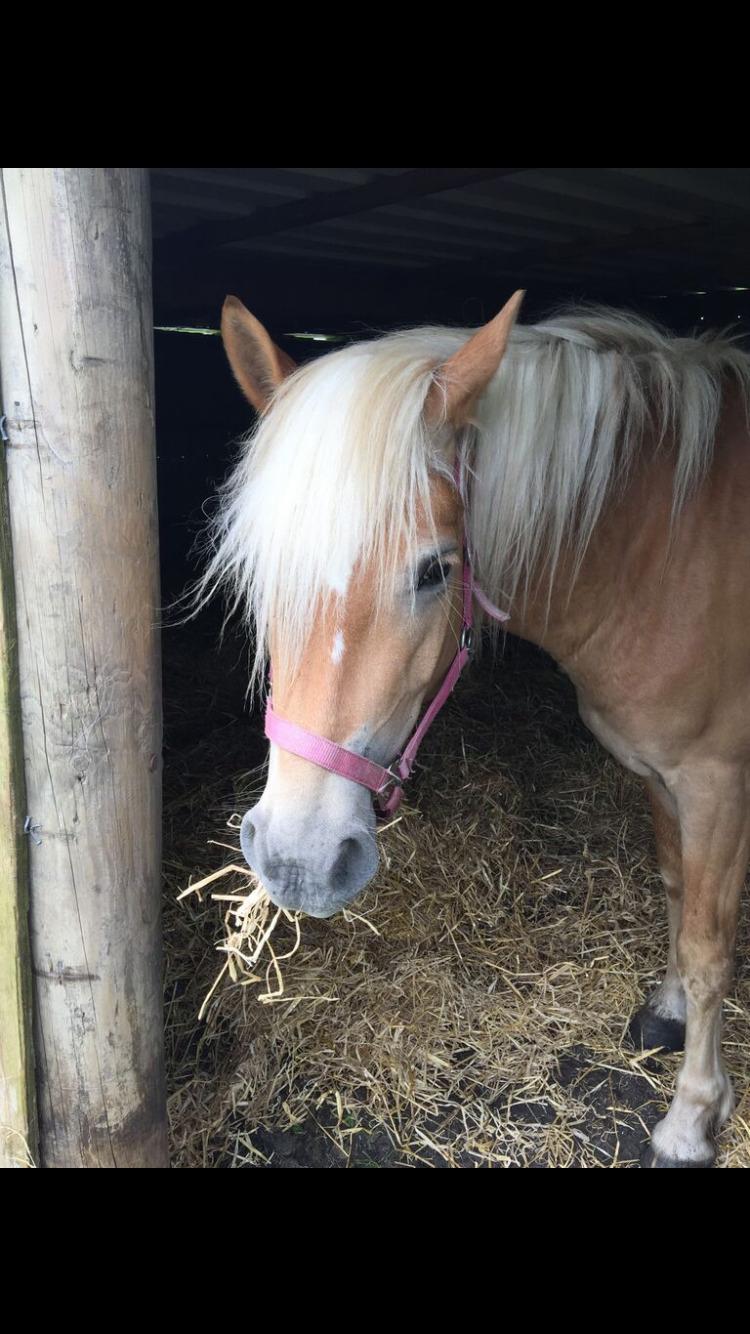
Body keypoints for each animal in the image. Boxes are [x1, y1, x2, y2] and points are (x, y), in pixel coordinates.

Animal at [198, 292, 747, 1168]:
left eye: (435, 570)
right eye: (261, 569)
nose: (298, 862)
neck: (665, 548)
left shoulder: (716, 782)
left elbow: (707, 946)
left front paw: (691, 1118)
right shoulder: (662, 775)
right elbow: (674, 888)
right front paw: (665, 1014)